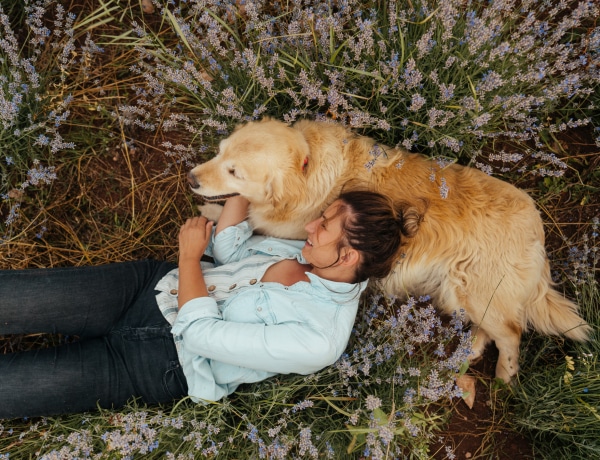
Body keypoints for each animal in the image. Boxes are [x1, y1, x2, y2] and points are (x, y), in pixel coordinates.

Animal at [189, 117, 592, 380]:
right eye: (219, 153)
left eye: (235, 172)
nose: (192, 179)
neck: (306, 165)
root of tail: (537, 229)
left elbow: (246, 218)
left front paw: (211, 213)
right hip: (468, 295)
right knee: (499, 327)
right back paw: (472, 349)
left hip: (475, 290)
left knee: (512, 332)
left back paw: (505, 375)